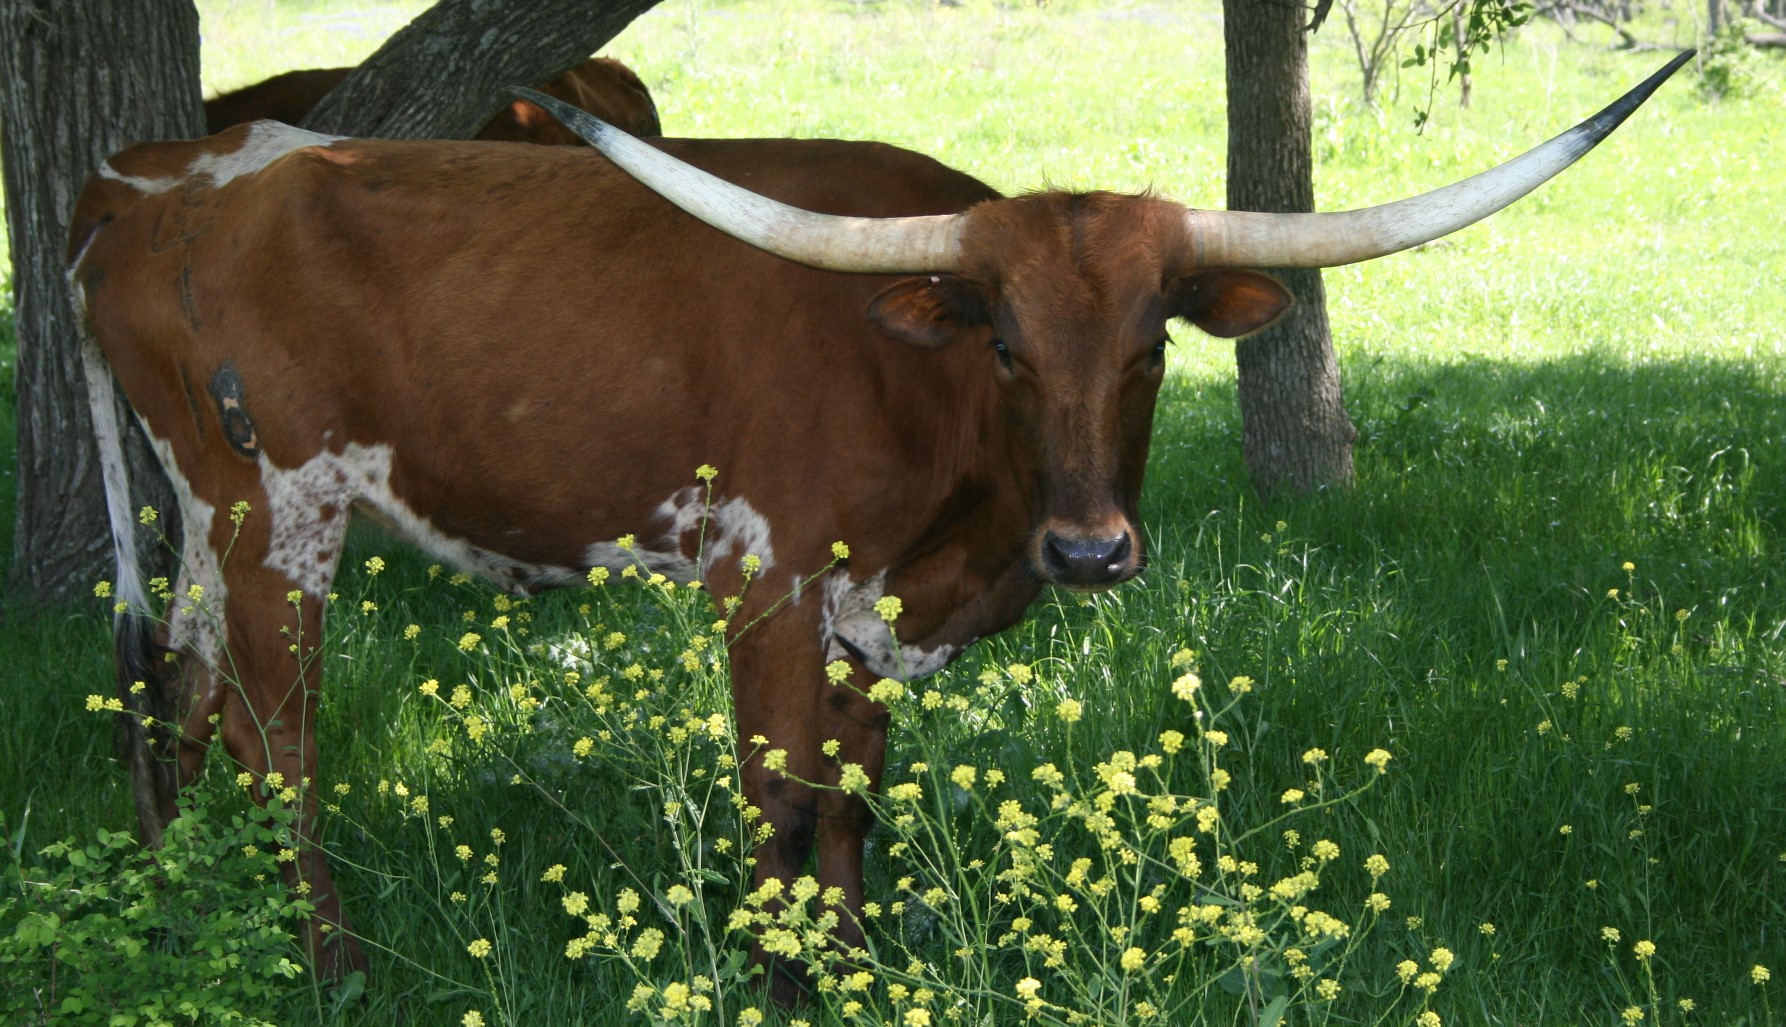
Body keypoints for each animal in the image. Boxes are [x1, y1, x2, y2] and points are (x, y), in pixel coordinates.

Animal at [66, 50, 1685, 1000]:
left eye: (1152, 345)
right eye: (1005, 345)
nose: (1090, 550)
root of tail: (141, 183)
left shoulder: (876, 606)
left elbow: (853, 799)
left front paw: (848, 972)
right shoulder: (770, 578)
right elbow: (782, 799)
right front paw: (787, 983)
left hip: (205, 511)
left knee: (176, 694)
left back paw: (175, 915)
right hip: (276, 505)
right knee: (274, 731)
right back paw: (326, 967)